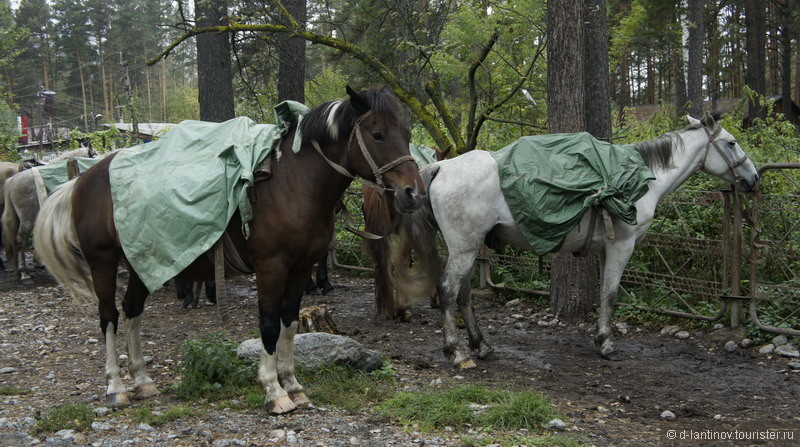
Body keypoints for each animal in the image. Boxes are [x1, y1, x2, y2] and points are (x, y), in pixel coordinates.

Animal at [31, 86, 424, 414]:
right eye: (377, 134)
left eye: (406, 135)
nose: (413, 193)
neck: (293, 184)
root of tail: (84, 178)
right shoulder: (271, 267)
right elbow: (268, 325)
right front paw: (274, 393)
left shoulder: (301, 268)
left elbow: (289, 323)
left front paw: (294, 386)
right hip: (103, 261)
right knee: (109, 317)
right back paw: (116, 388)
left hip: (143, 262)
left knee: (132, 311)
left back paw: (142, 382)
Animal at [396, 114, 760, 368]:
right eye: (731, 143)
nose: (754, 178)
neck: (642, 179)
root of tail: (442, 166)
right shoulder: (622, 246)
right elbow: (611, 295)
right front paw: (607, 345)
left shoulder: (605, 250)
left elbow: (603, 294)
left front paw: (600, 339)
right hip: (465, 248)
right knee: (448, 291)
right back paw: (457, 353)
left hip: (469, 248)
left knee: (464, 295)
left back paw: (481, 346)